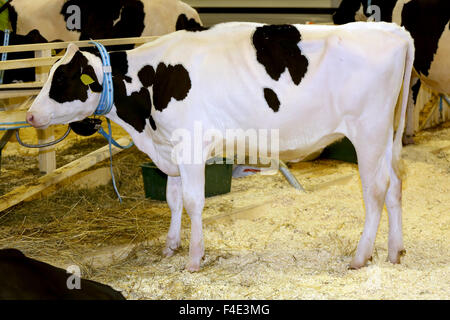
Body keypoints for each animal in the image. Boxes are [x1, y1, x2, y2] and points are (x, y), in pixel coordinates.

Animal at [27, 22, 414, 272]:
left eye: (61, 80)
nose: (30, 115)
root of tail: (394, 30)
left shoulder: (191, 145)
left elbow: (194, 202)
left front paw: (194, 259)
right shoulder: (171, 147)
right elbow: (173, 199)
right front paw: (170, 247)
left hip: (368, 132)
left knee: (375, 190)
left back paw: (360, 257)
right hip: (386, 137)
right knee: (395, 185)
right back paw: (395, 252)